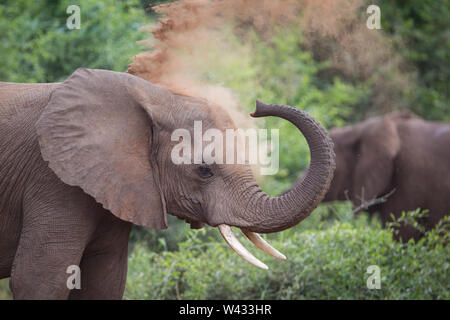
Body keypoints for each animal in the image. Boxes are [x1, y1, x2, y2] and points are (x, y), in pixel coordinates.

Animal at [0, 68, 334, 300]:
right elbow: (39, 280)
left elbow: (104, 281)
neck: (158, 97)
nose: (258, 105)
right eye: (204, 170)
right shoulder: (52, 181)